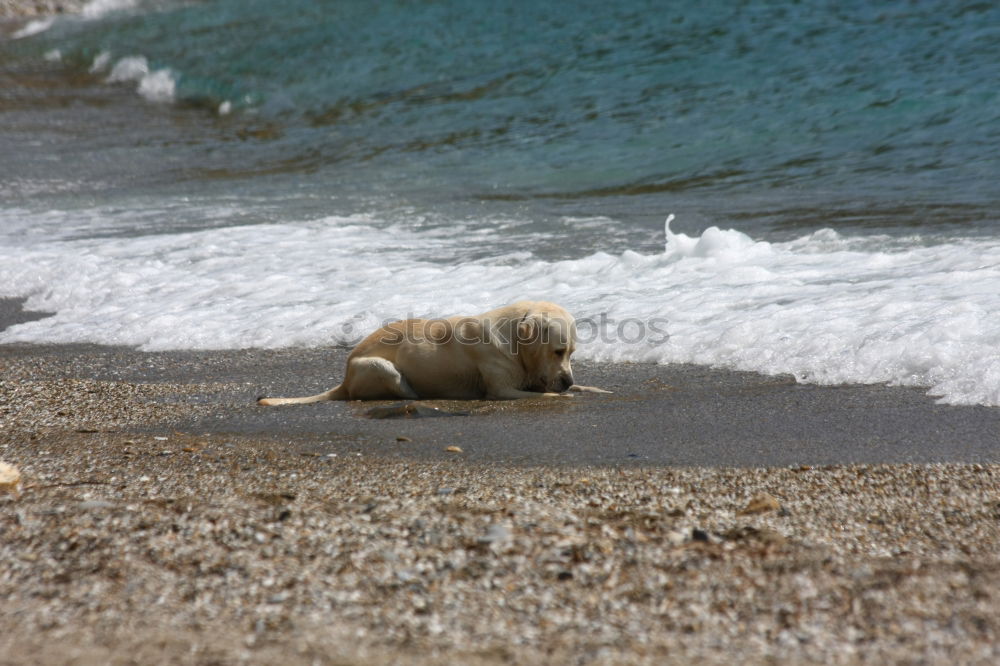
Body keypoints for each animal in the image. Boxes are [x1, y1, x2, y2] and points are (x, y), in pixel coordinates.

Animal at [256, 300, 608, 402]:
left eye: (572, 353)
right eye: (558, 351)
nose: (567, 380)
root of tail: (342, 380)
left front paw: (593, 389)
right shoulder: (503, 390)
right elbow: (546, 394)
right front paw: (567, 394)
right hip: (382, 369)